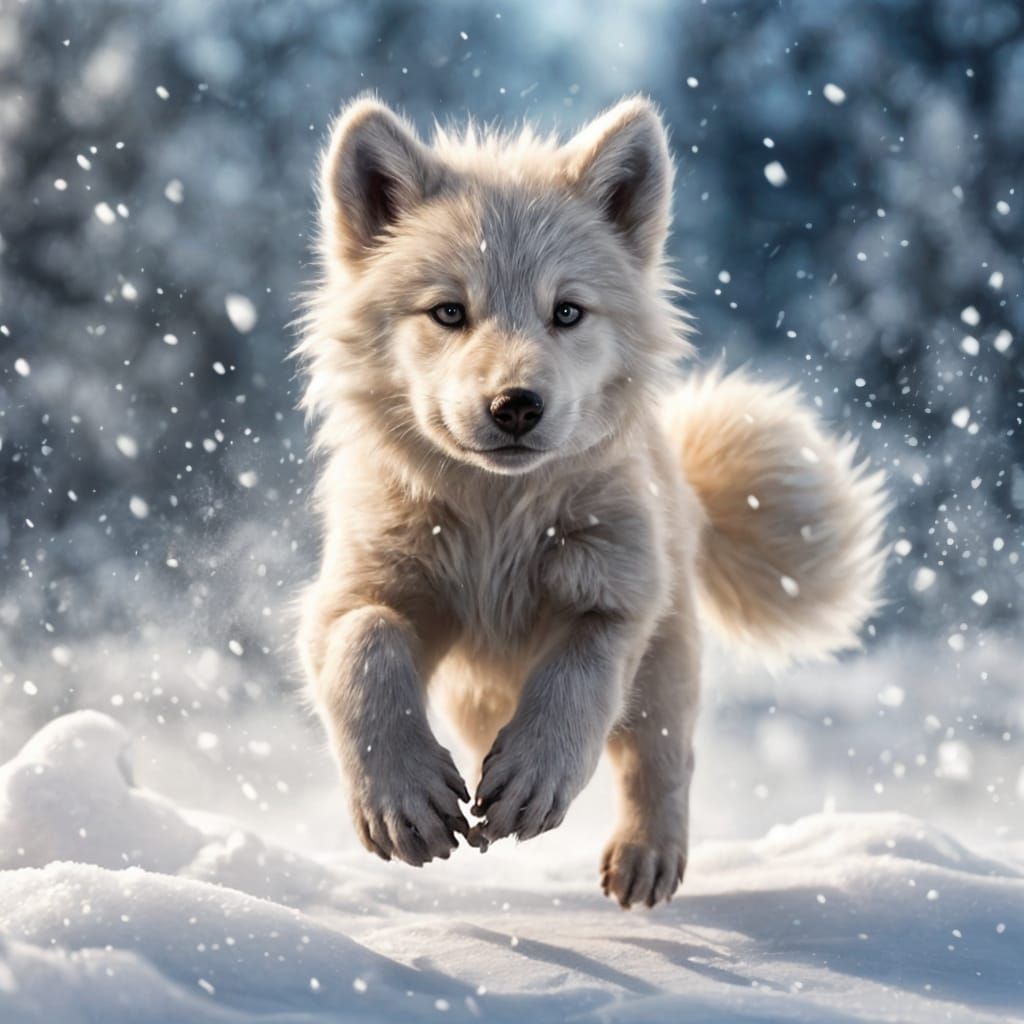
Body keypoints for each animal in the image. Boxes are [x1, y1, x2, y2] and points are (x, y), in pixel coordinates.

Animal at [296, 95, 886, 908]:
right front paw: (403, 799)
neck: (496, 521)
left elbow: (579, 678)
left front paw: (531, 778)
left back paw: (646, 860)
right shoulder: (347, 595)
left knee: (661, 762)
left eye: (568, 312)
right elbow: (367, 647)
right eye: (449, 312)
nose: (515, 405)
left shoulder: (618, 596)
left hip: (667, 665)